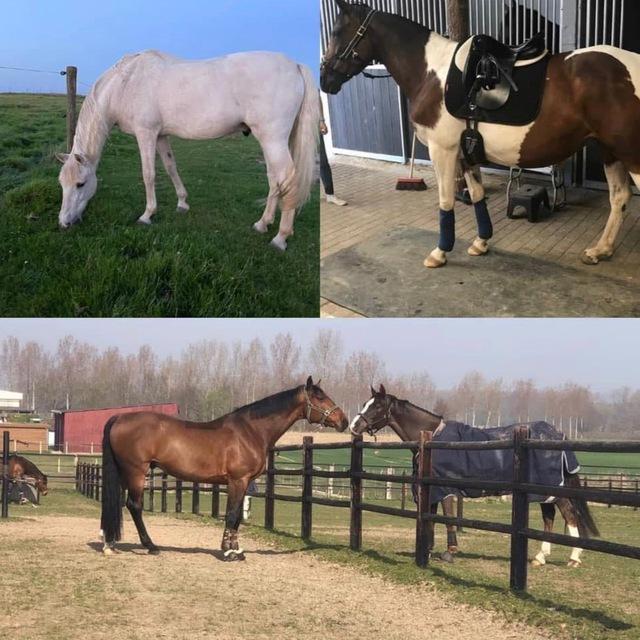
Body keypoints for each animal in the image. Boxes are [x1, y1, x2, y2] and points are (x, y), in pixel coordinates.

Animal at [56, 50, 320, 251]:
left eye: (80, 184)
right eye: (62, 184)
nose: (64, 223)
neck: (127, 81)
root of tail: (295, 65)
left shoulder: (146, 133)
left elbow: (148, 174)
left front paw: (147, 215)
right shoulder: (161, 135)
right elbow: (170, 167)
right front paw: (182, 203)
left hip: (272, 138)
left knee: (286, 177)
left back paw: (280, 237)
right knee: (275, 180)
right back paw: (263, 223)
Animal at [100, 377, 348, 561]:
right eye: (319, 397)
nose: (343, 421)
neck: (250, 431)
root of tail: (118, 418)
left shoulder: (244, 483)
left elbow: (237, 516)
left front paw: (237, 549)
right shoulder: (238, 480)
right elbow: (231, 515)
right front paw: (229, 552)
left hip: (124, 472)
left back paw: (109, 543)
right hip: (136, 471)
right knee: (134, 505)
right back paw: (151, 546)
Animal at [321, 1, 640, 267]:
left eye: (337, 31)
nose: (325, 80)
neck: (432, 73)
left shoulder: (443, 150)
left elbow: (446, 200)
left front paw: (440, 252)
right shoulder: (467, 151)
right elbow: (476, 195)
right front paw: (481, 242)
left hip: (630, 154)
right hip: (610, 150)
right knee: (619, 197)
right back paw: (600, 250)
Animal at [349, 385, 599, 568]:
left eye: (377, 406)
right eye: (365, 404)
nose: (354, 426)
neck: (432, 439)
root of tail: (558, 434)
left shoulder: (446, 490)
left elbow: (448, 518)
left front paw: (450, 552)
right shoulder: (430, 490)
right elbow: (430, 519)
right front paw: (426, 551)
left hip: (553, 489)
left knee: (570, 514)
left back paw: (574, 558)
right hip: (541, 491)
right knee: (549, 517)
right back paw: (540, 557)